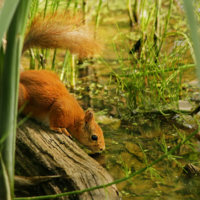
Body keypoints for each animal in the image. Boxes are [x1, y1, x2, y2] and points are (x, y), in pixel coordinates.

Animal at [18, 12, 105, 152]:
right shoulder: (62, 109)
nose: (102, 149)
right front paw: (60, 129)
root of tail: (20, 74)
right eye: (94, 137)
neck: (76, 119)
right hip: (21, 96)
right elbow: (55, 121)